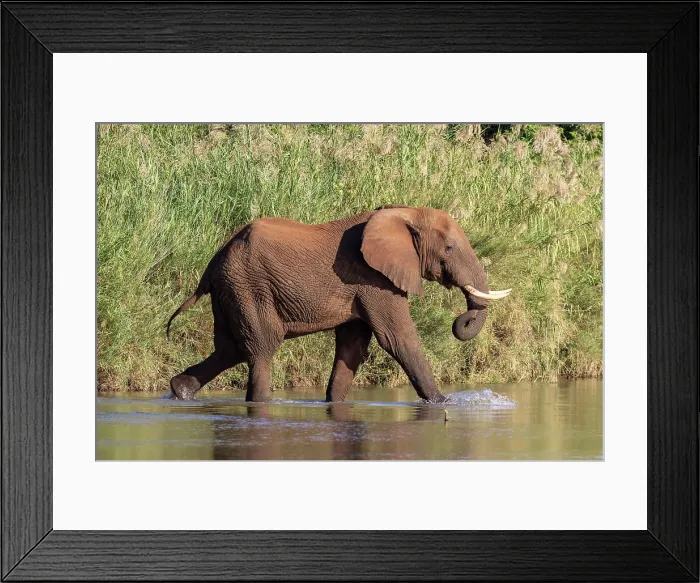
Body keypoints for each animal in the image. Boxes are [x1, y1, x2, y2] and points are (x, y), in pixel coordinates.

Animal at [167, 205, 511, 403]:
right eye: (449, 248)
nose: (461, 321)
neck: (404, 213)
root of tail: (213, 261)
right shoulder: (374, 279)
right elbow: (398, 338)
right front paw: (442, 404)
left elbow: (352, 345)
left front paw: (334, 404)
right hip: (248, 287)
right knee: (262, 347)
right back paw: (260, 402)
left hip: (231, 291)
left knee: (231, 348)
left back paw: (179, 390)